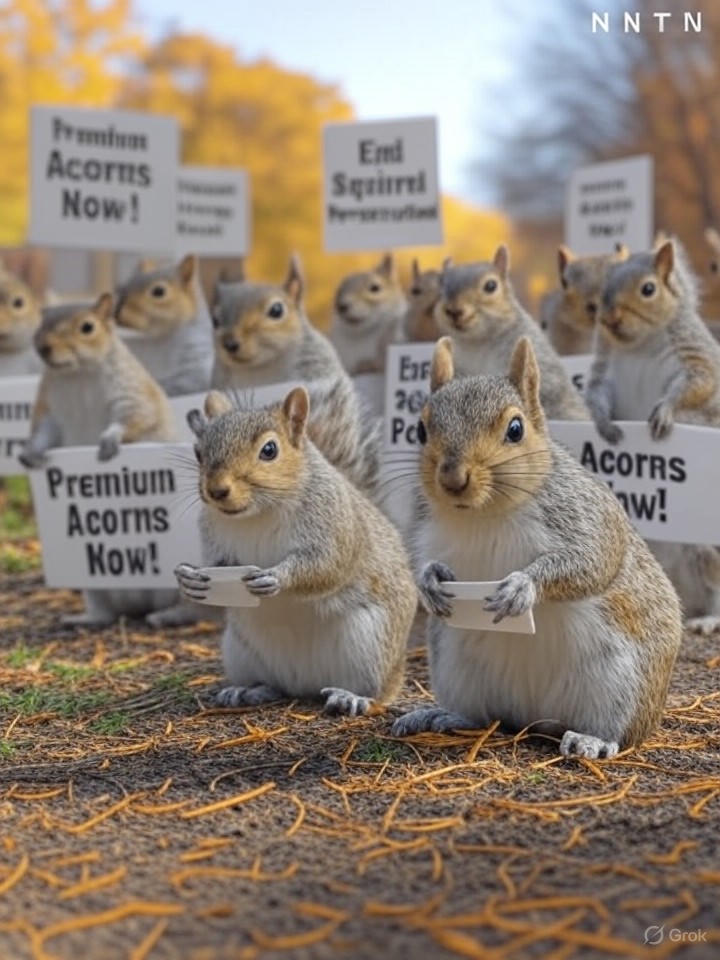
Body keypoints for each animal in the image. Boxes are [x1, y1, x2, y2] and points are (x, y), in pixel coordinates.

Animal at [19, 293, 181, 627]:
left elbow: (134, 417)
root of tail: (136, 606)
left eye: (87, 327)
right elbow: (44, 432)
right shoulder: (47, 406)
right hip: (94, 589)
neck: (78, 373)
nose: (43, 346)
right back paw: (83, 619)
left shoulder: (132, 394)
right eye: (42, 322)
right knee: (105, 612)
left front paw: (109, 441)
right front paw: (30, 453)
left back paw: (169, 615)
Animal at [175, 385, 416, 715]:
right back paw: (248, 690)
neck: (258, 513)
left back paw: (353, 697)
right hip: (239, 651)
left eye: (269, 450)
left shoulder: (332, 525)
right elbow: (216, 563)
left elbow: (326, 565)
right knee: (274, 685)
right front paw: (189, 578)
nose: (216, 490)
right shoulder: (215, 539)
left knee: (380, 691)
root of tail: (306, 684)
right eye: (198, 453)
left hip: (372, 646)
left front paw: (276, 578)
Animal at [392, 336, 682, 758]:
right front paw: (429, 581)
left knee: (618, 729)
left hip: (623, 682)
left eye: (516, 429)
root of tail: (535, 717)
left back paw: (594, 739)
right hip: (454, 663)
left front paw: (522, 586)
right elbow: (415, 564)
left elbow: (595, 559)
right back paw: (440, 715)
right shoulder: (422, 527)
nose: (453, 479)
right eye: (420, 429)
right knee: (481, 714)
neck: (485, 515)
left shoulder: (585, 515)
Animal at [587, 236, 720, 635]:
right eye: (604, 285)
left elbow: (695, 385)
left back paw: (708, 619)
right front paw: (603, 423)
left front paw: (664, 414)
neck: (640, 343)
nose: (609, 318)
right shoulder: (603, 367)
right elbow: (596, 394)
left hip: (704, 548)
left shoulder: (695, 358)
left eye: (649, 289)